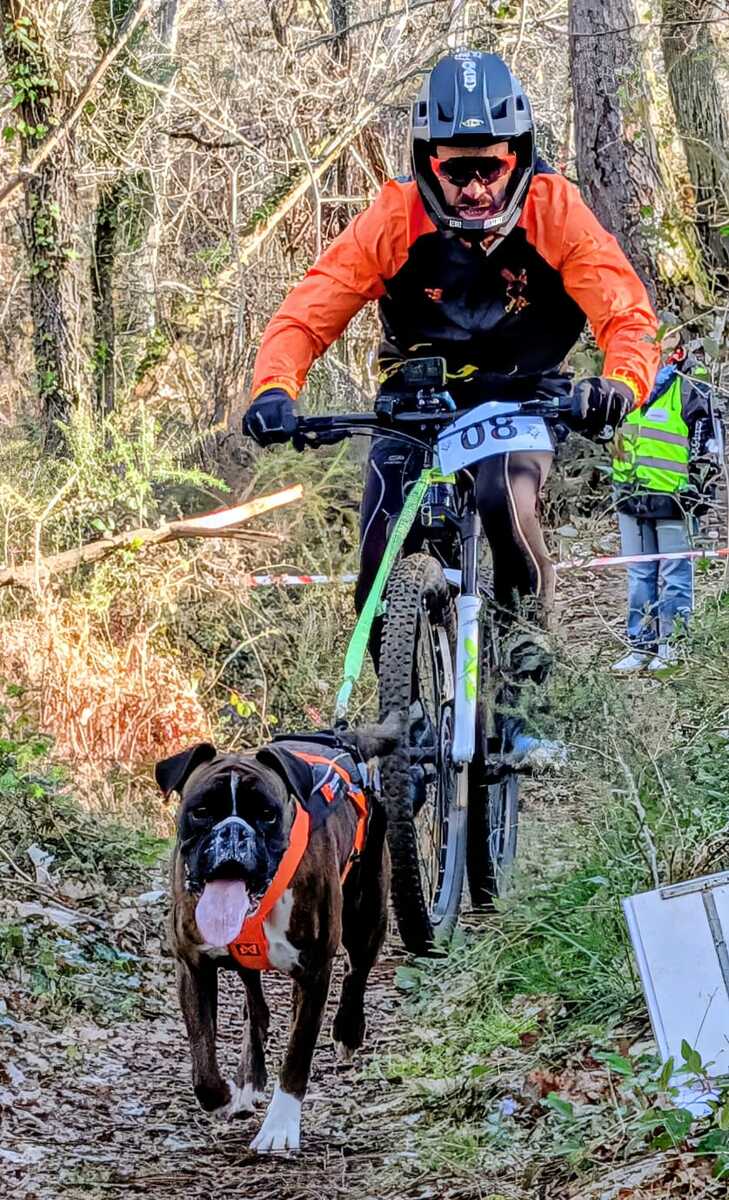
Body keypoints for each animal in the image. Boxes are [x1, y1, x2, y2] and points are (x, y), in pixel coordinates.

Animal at [155, 720, 397, 1153]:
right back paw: (249, 1079)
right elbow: (203, 1059)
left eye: (267, 815)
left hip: (367, 914)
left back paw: (348, 1031)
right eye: (201, 812)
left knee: (357, 973)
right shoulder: (193, 965)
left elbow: (298, 1054)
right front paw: (225, 1096)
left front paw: (281, 1127)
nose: (234, 832)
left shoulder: (314, 972)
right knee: (256, 1006)